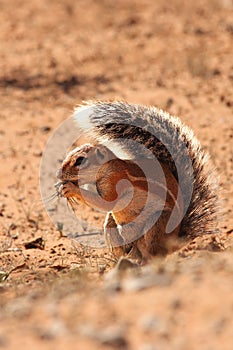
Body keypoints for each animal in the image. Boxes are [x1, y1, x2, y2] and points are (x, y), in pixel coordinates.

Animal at [55, 101, 219, 262]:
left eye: (80, 160)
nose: (58, 174)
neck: (108, 167)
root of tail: (176, 240)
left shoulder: (114, 180)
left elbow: (107, 203)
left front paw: (71, 189)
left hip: (157, 224)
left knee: (153, 253)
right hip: (112, 225)